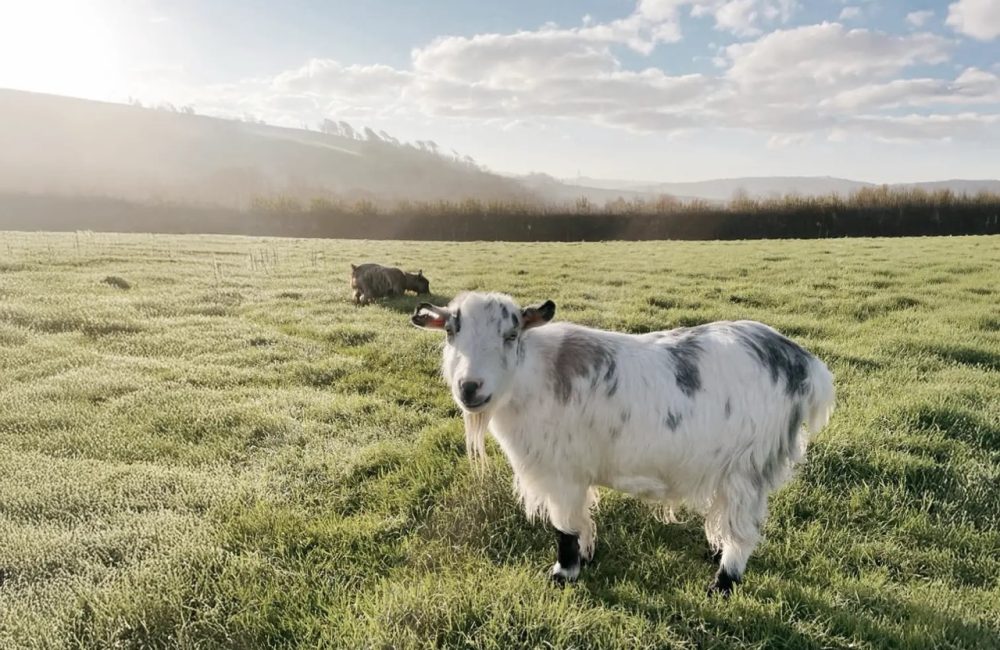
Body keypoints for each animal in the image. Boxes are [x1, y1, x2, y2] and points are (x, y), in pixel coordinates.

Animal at [412, 292, 835, 595]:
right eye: (451, 332)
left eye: (510, 334)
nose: (470, 387)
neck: (533, 377)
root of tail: (803, 362)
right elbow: (582, 521)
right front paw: (585, 557)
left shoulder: (562, 474)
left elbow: (564, 526)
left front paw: (563, 573)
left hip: (747, 470)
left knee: (743, 533)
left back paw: (722, 583)